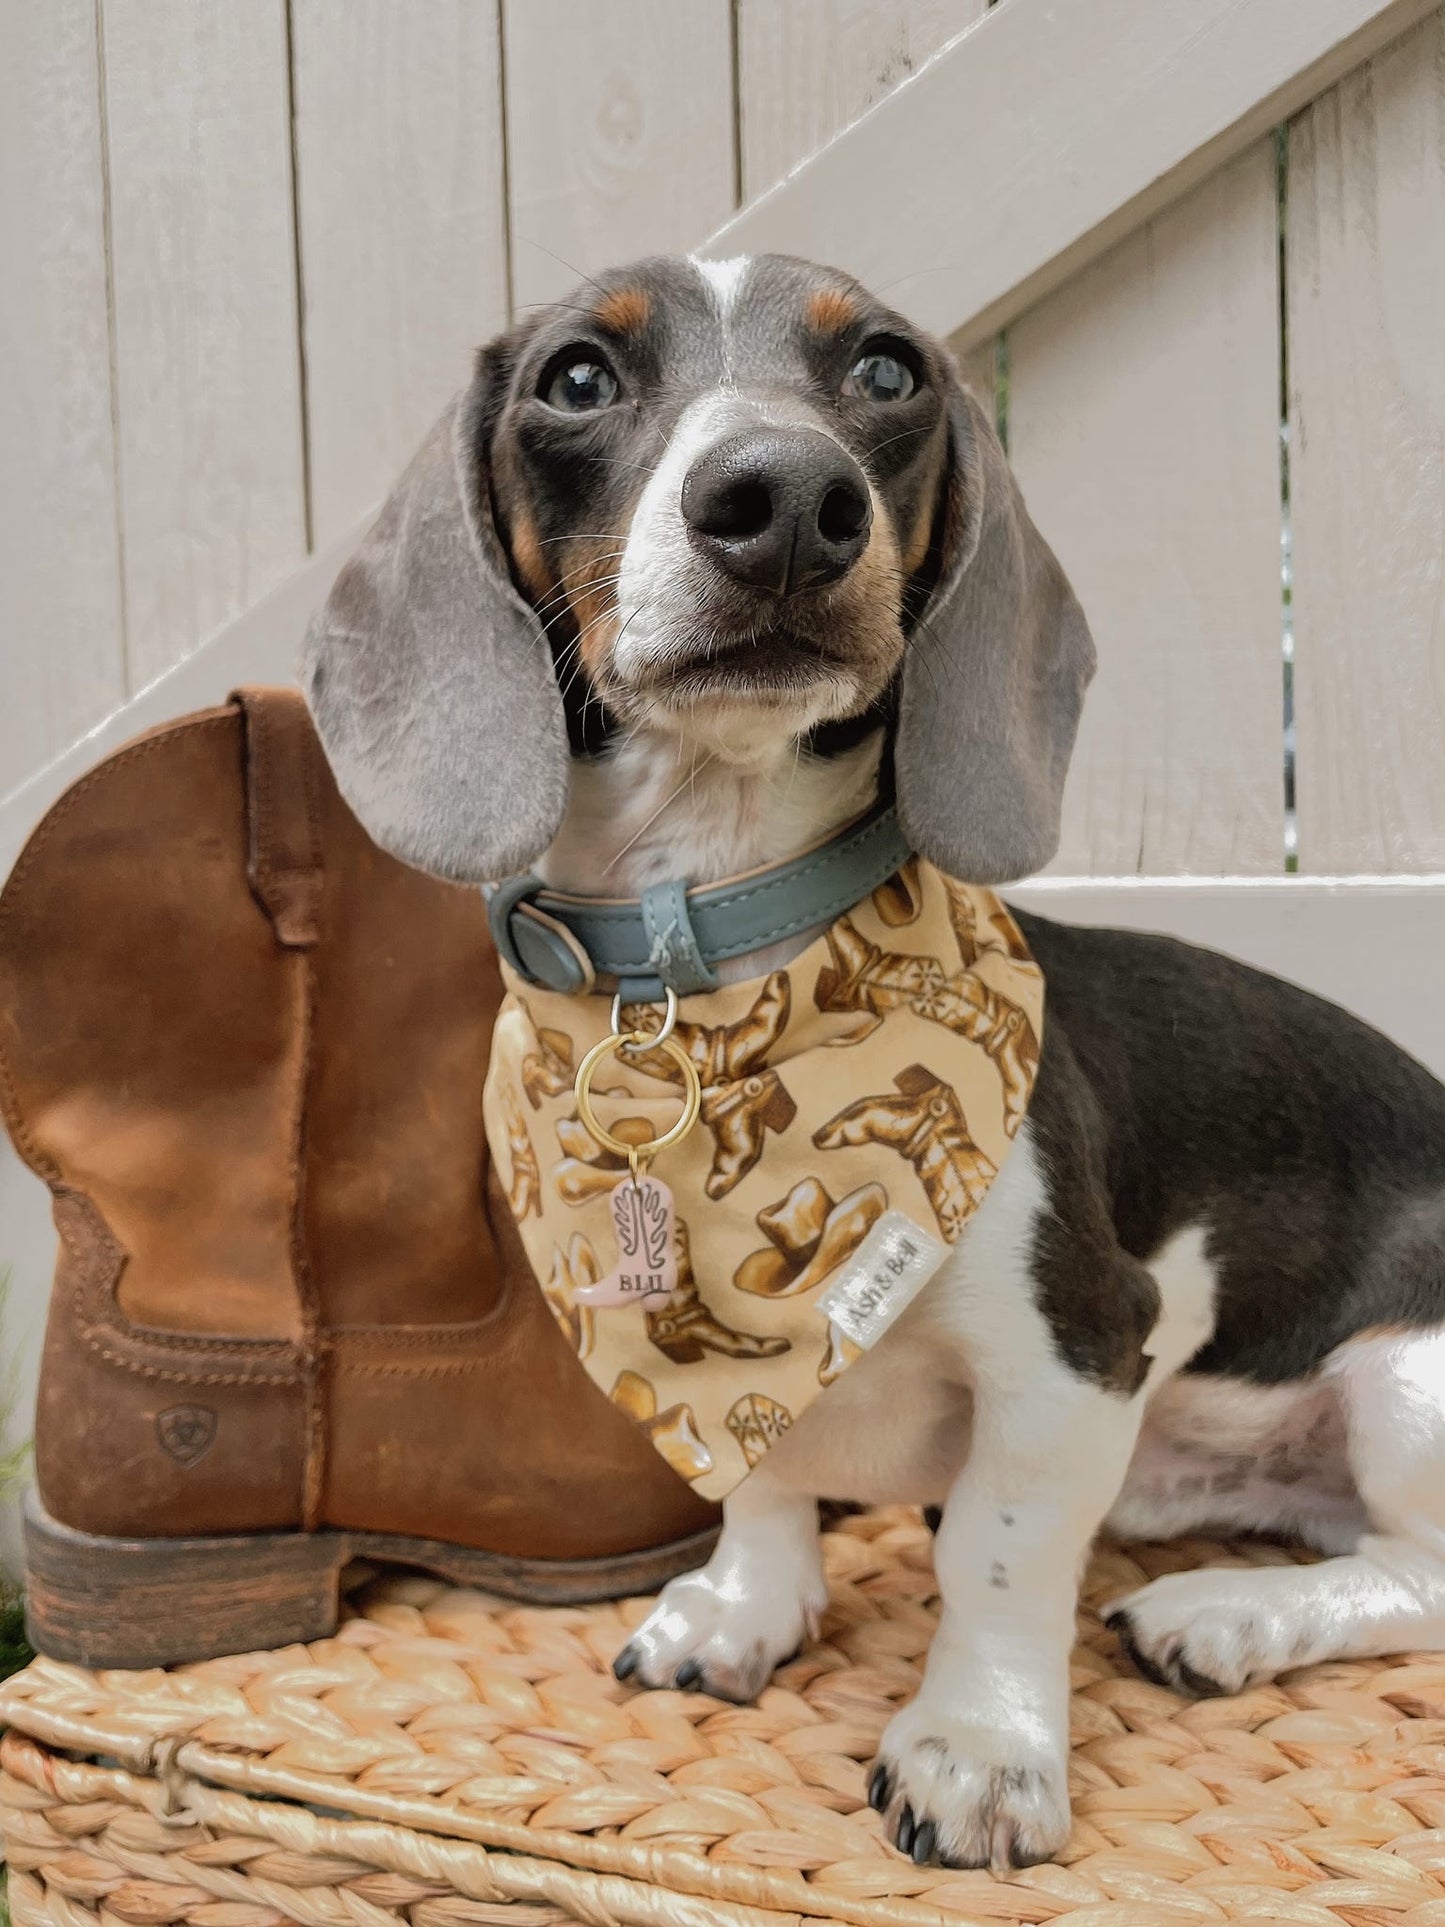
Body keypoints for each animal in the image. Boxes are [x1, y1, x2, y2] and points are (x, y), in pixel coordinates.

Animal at [306, 256, 1445, 1865]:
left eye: (888, 371)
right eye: (577, 377)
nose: (783, 497)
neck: (714, 959)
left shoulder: (1076, 1349)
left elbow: (996, 1556)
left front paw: (978, 1749)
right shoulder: (730, 1366)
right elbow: (765, 1475)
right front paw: (744, 1606)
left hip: (1414, 1379)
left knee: (1419, 1570)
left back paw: (1227, 1616)